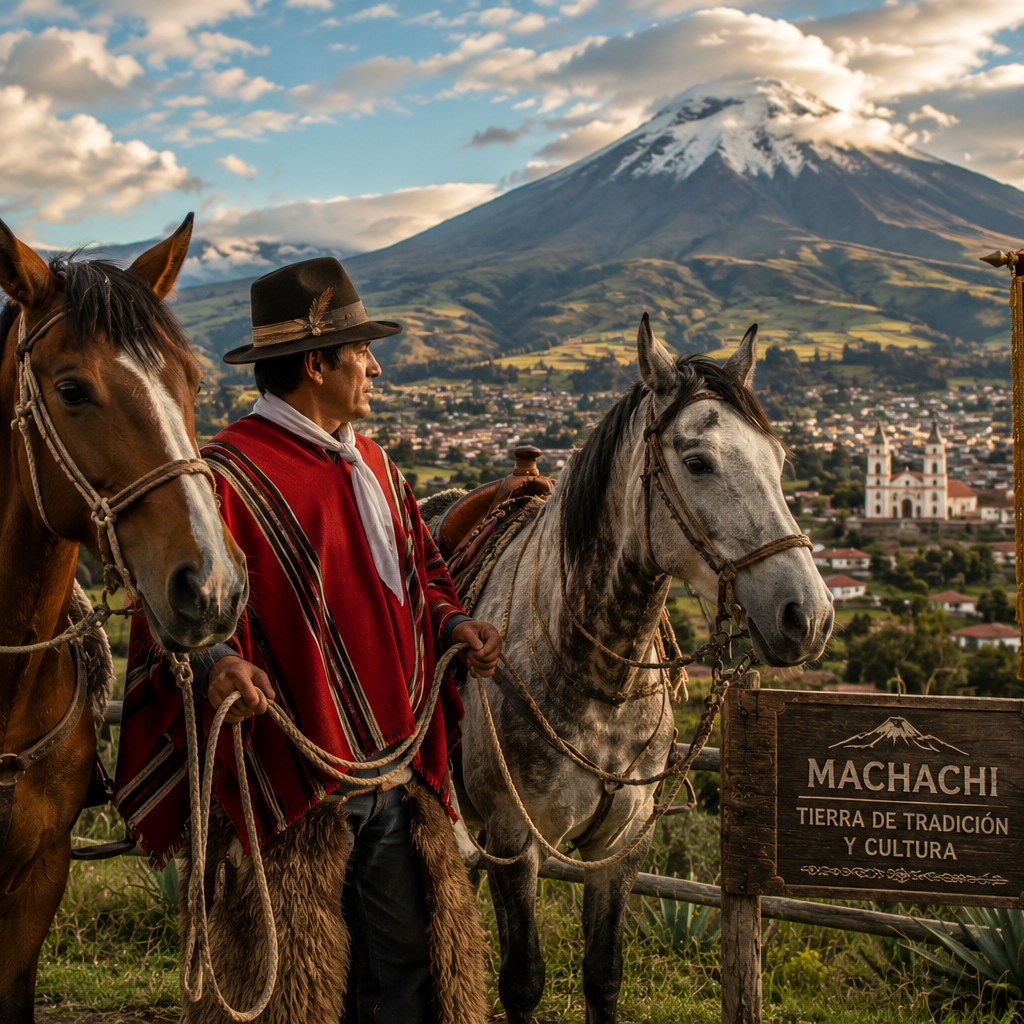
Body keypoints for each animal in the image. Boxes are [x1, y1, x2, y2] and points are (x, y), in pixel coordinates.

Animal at [456, 314, 834, 1024]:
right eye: (697, 462)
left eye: (778, 462)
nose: (810, 615)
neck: (601, 684)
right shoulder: (514, 839)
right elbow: (522, 981)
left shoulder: (621, 845)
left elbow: (604, 975)